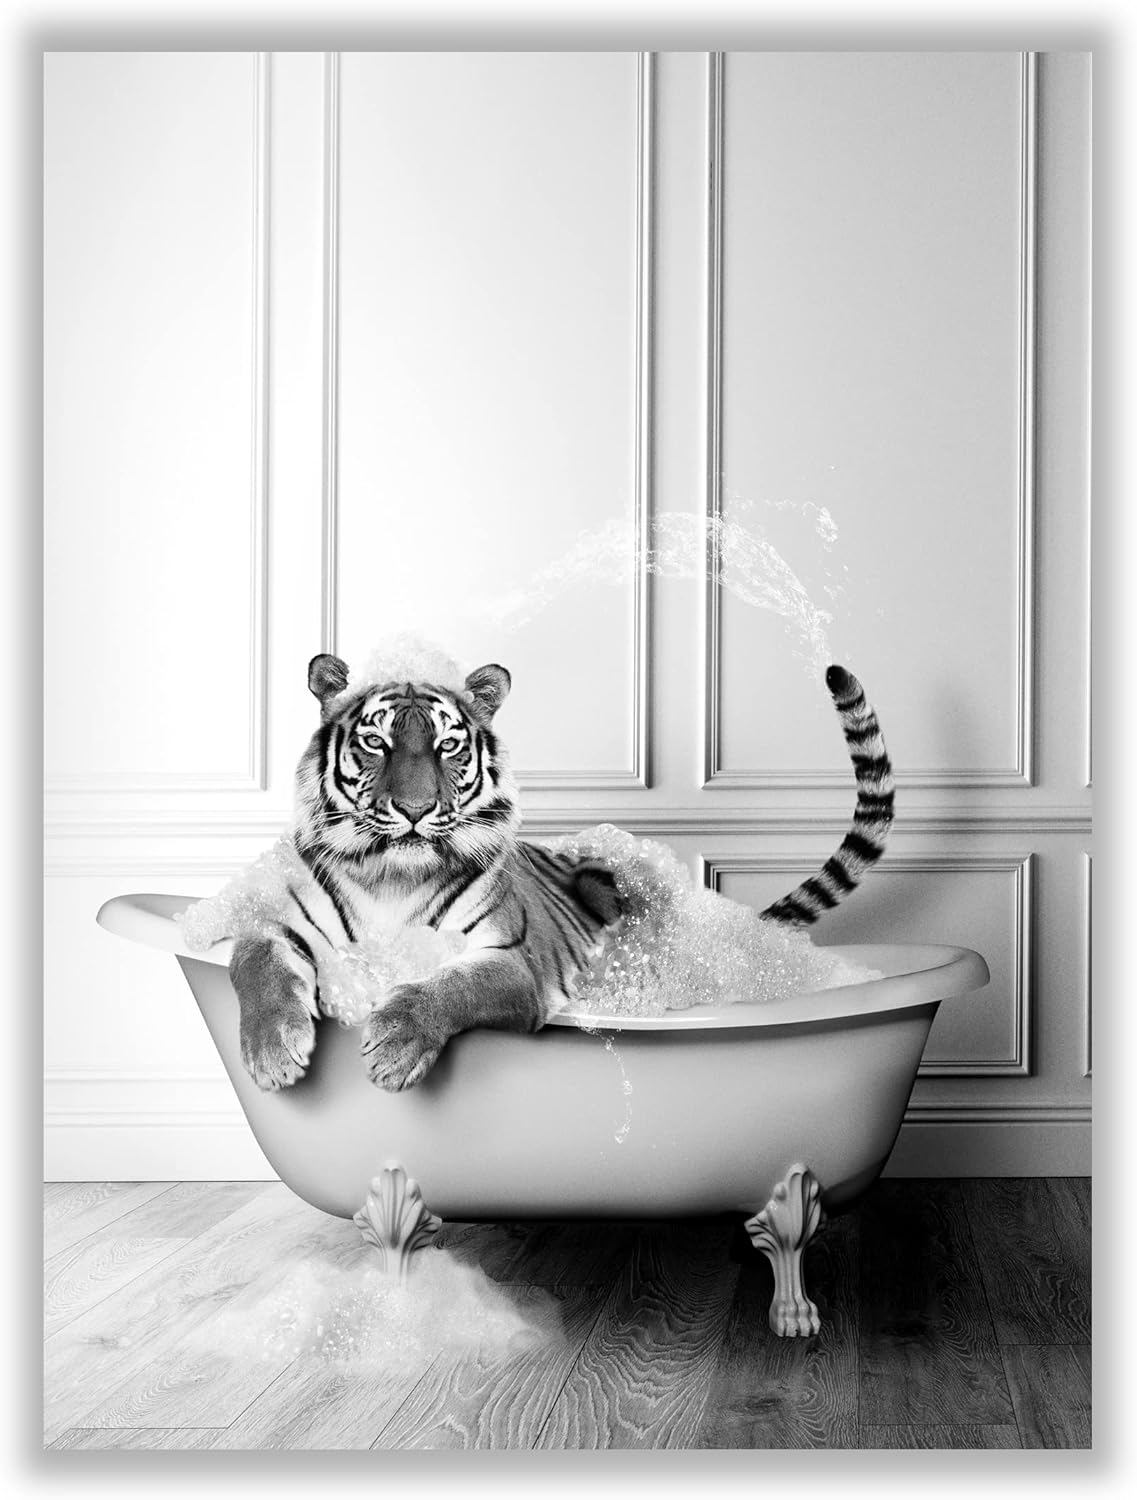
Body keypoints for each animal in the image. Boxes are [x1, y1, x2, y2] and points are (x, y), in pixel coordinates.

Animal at [229, 656, 894, 1093]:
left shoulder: (510, 963)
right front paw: (272, 1052)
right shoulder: (278, 924)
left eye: (448, 746)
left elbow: (448, 987)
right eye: (376, 743)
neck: (391, 880)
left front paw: (394, 1046)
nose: (415, 809)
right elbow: (253, 961)